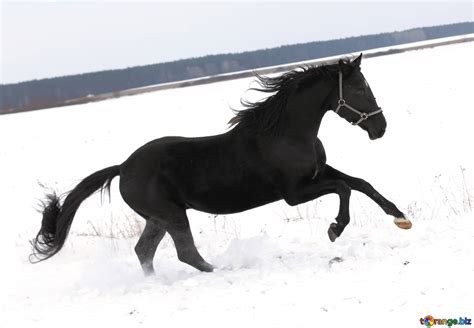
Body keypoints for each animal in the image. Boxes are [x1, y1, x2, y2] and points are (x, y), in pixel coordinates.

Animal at [31, 55, 412, 276]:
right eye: (360, 89)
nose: (380, 128)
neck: (287, 133)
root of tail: (122, 167)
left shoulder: (318, 173)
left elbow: (361, 183)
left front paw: (401, 218)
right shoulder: (295, 192)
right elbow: (345, 188)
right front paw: (335, 229)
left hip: (159, 217)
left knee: (145, 251)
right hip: (171, 215)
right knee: (184, 252)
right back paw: (220, 271)